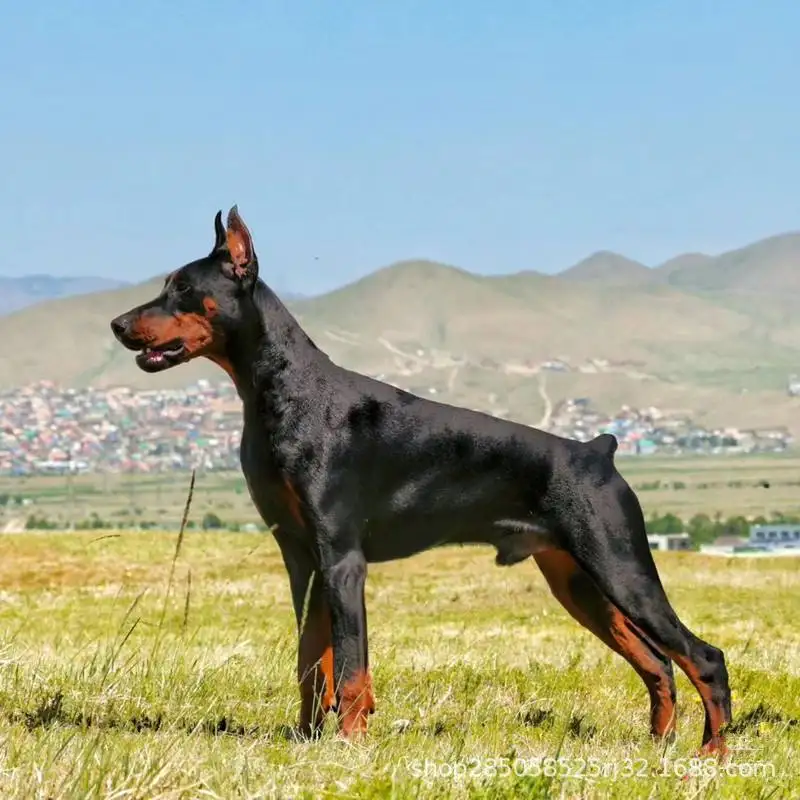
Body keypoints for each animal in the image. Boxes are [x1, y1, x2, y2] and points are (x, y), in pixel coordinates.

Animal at [111, 206, 732, 752]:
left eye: (183, 288)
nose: (117, 324)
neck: (279, 392)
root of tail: (598, 451)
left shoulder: (341, 558)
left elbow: (351, 668)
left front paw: (348, 744)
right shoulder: (301, 559)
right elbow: (313, 663)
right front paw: (307, 741)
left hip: (620, 566)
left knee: (703, 658)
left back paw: (711, 756)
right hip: (579, 583)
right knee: (659, 663)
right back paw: (658, 747)